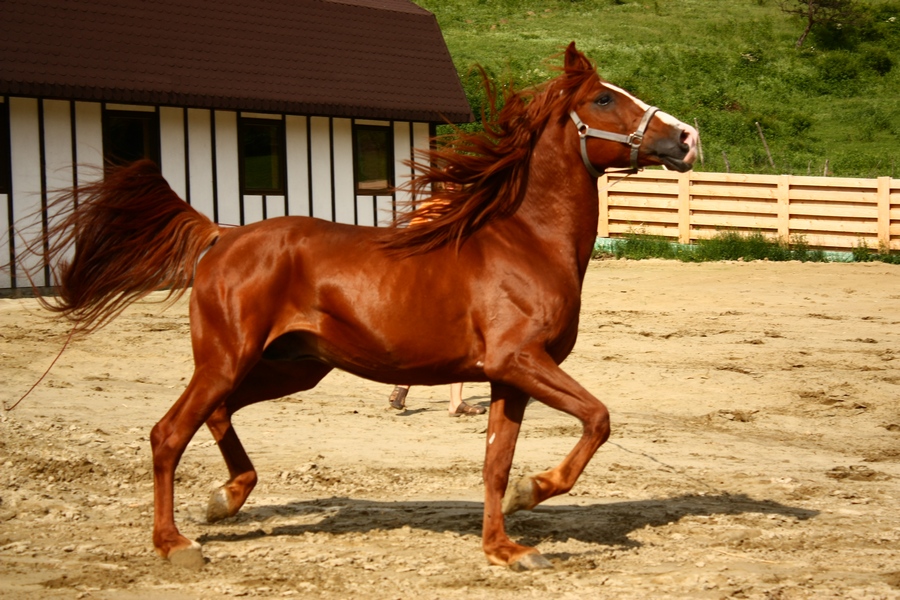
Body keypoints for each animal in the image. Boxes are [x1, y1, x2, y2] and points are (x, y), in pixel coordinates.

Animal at [38, 43, 700, 572]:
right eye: (605, 100)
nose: (687, 139)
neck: (527, 243)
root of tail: (223, 234)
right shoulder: (520, 362)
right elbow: (598, 418)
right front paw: (534, 491)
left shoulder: (509, 378)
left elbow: (495, 463)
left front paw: (505, 545)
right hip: (228, 359)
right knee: (169, 432)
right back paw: (174, 542)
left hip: (292, 368)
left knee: (218, 414)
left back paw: (226, 498)